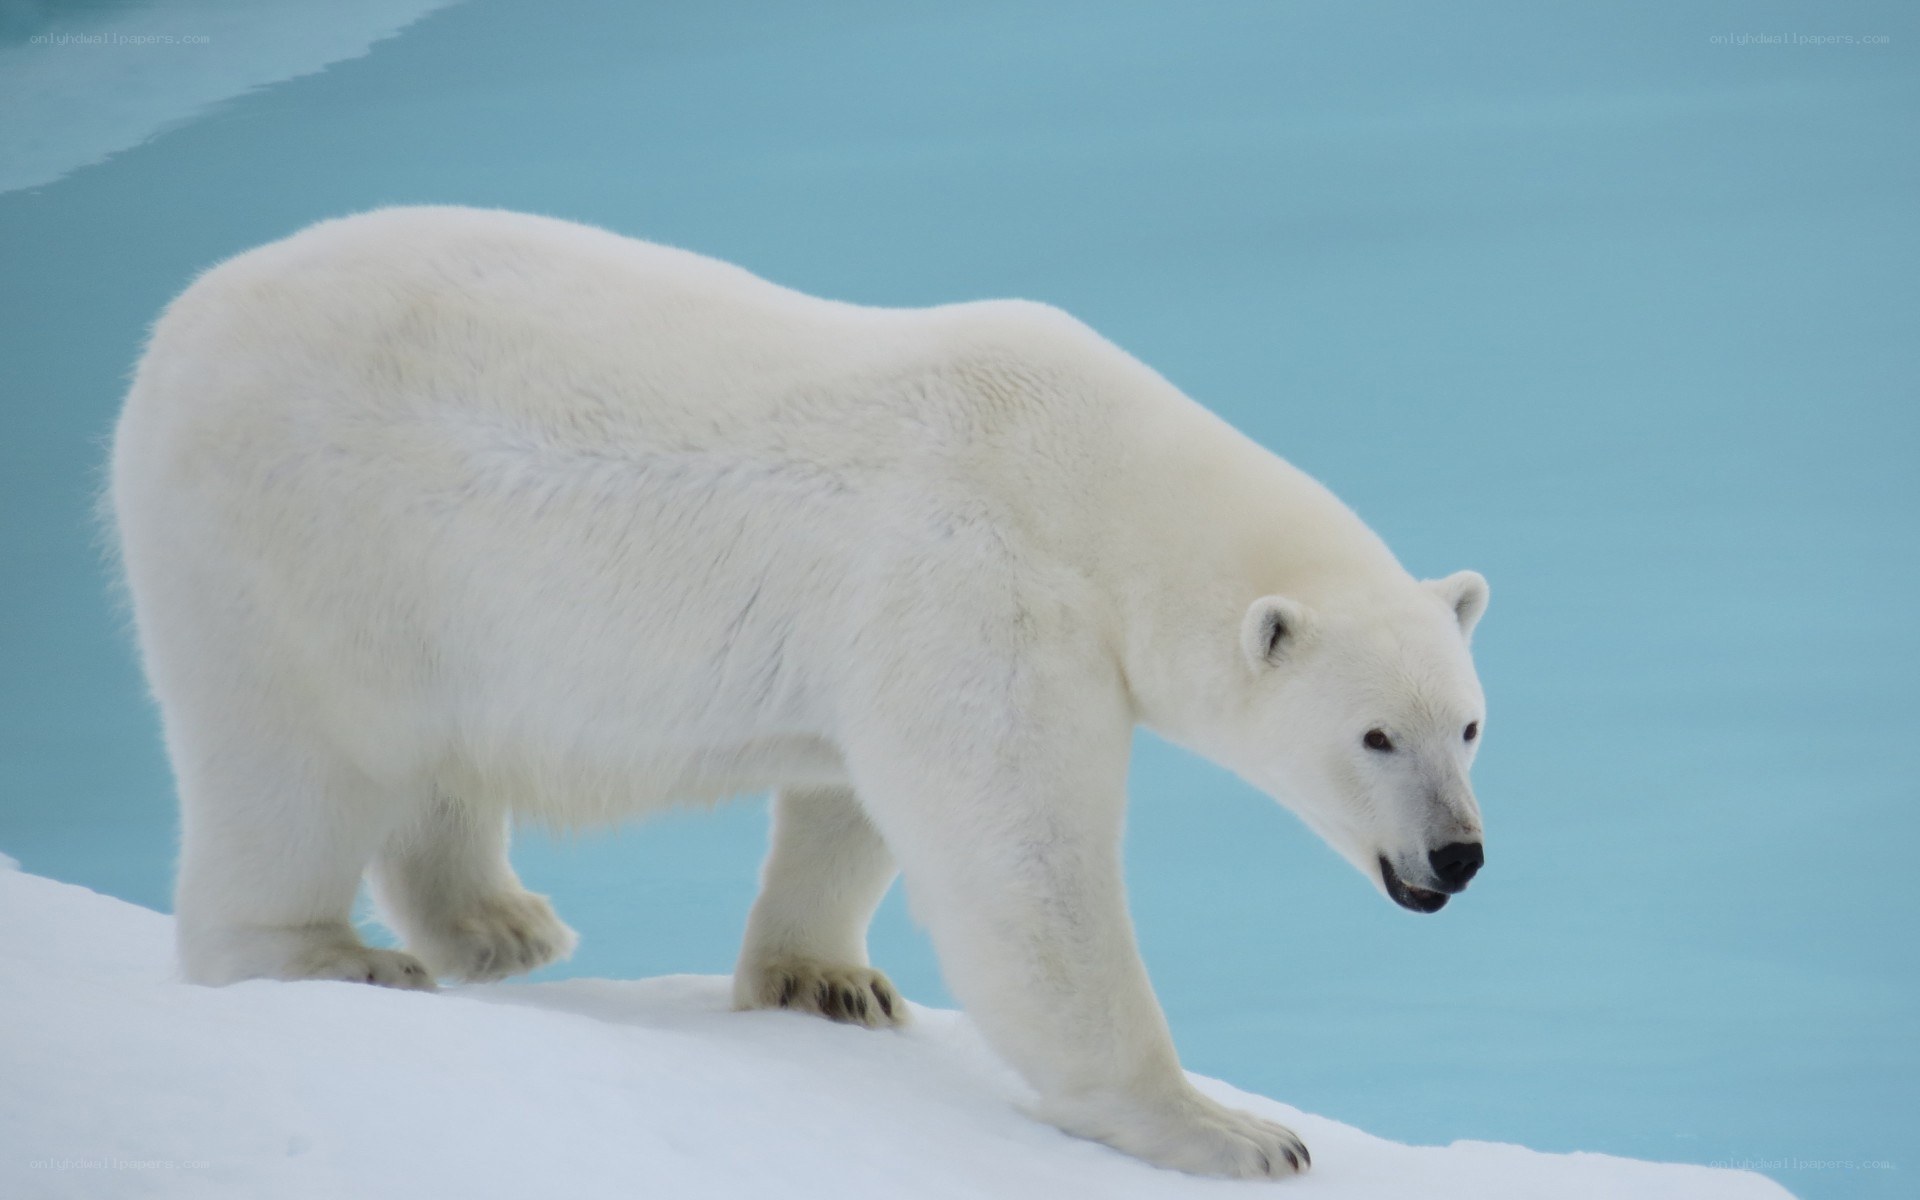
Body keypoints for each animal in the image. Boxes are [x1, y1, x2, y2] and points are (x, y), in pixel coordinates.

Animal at [108, 206, 1490, 1180]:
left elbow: (850, 801)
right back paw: (330, 954)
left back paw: (500, 923)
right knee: (289, 765)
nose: (1458, 854)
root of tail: (174, 331)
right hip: (295, 541)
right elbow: (1023, 866)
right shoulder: (978, 581)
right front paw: (1231, 1128)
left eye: (1471, 724)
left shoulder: (896, 626)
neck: (1090, 477)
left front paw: (827, 982)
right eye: (1375, 737)